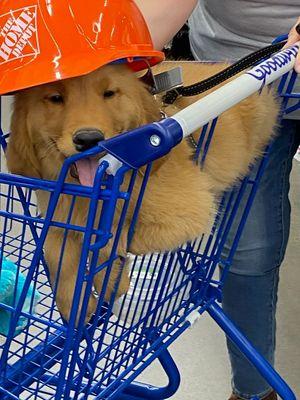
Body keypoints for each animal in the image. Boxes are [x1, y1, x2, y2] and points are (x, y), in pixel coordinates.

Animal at [6, 63, 278, 324]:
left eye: (109, 93)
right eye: (55, 98)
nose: (89, 139)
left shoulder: (192, 211)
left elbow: (112, 240)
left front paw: (112, 283)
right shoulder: (59, 216)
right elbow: (55, 255)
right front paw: (74, 303)